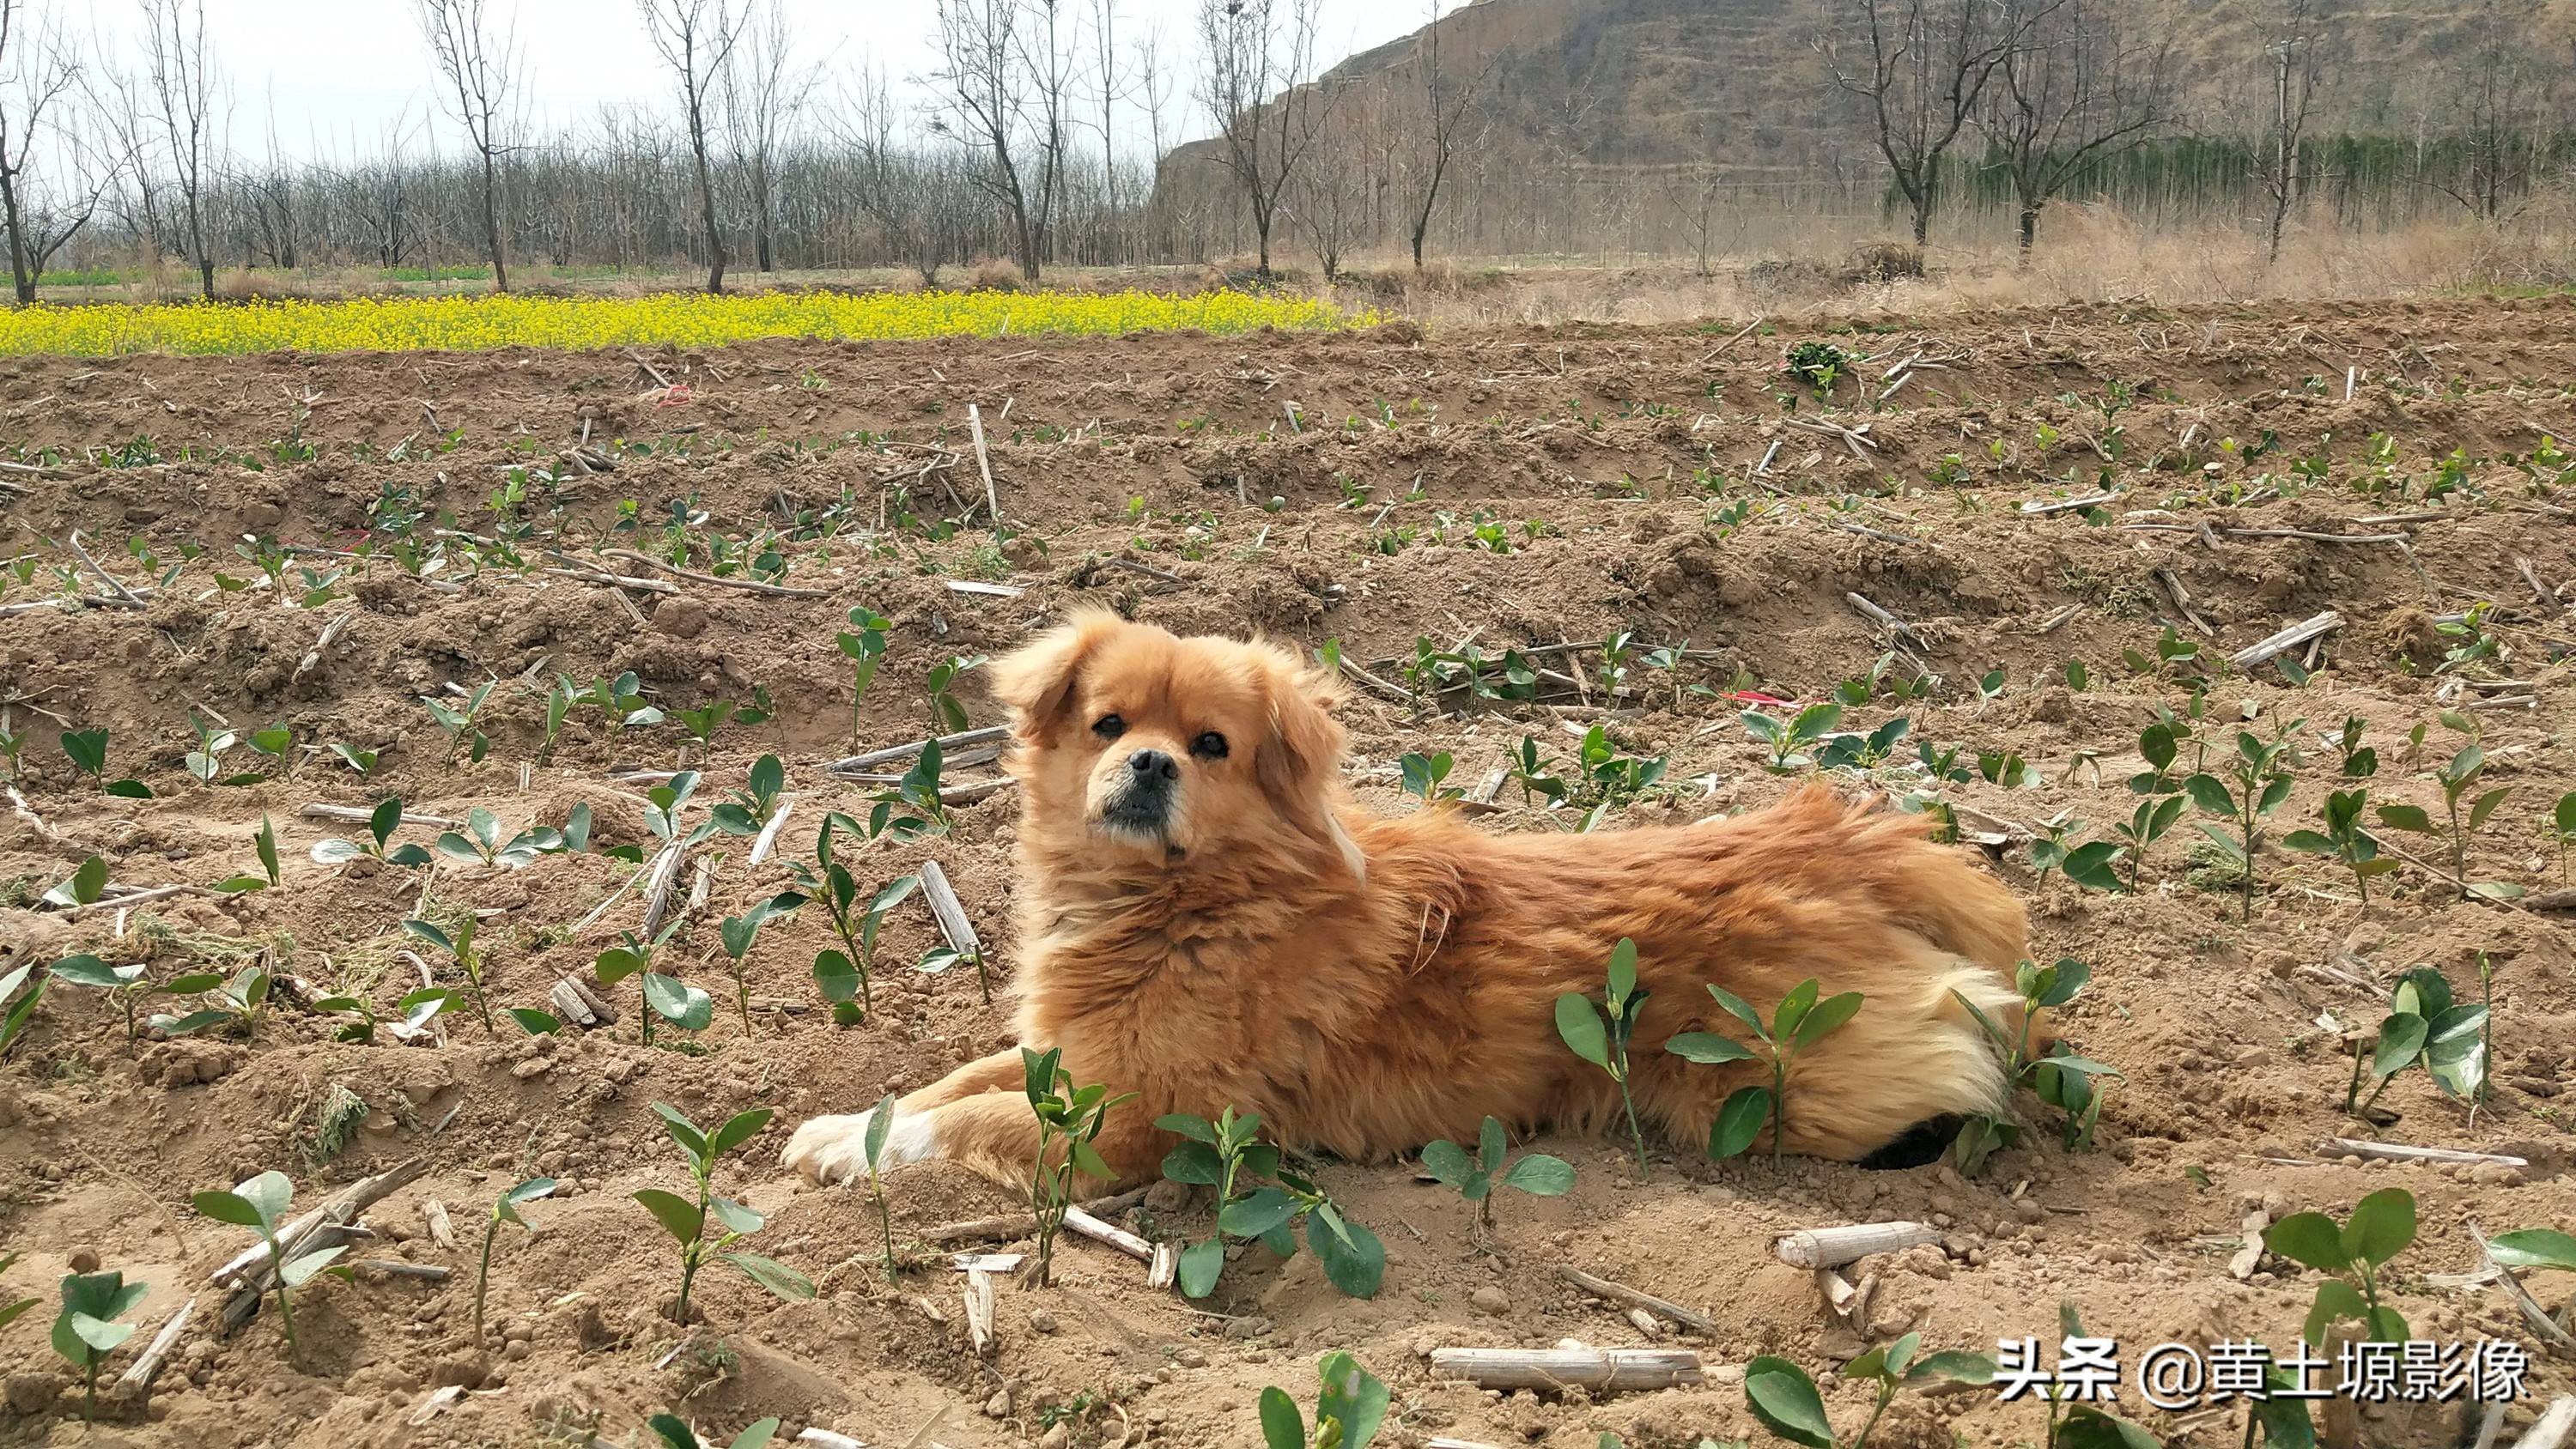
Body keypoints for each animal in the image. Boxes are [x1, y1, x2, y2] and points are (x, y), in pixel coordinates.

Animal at [783, 612, 2030, 1189]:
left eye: (1211, 745)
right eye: (1108, 724)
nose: (1148, 765)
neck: (1182, 902)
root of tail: (1856, 842)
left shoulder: (1133, 1118)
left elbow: (971, 1118)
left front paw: (850, 1148)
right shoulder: (1072, 1049)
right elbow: (954, 1080)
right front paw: (846, 1117)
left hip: (1782, 1089)